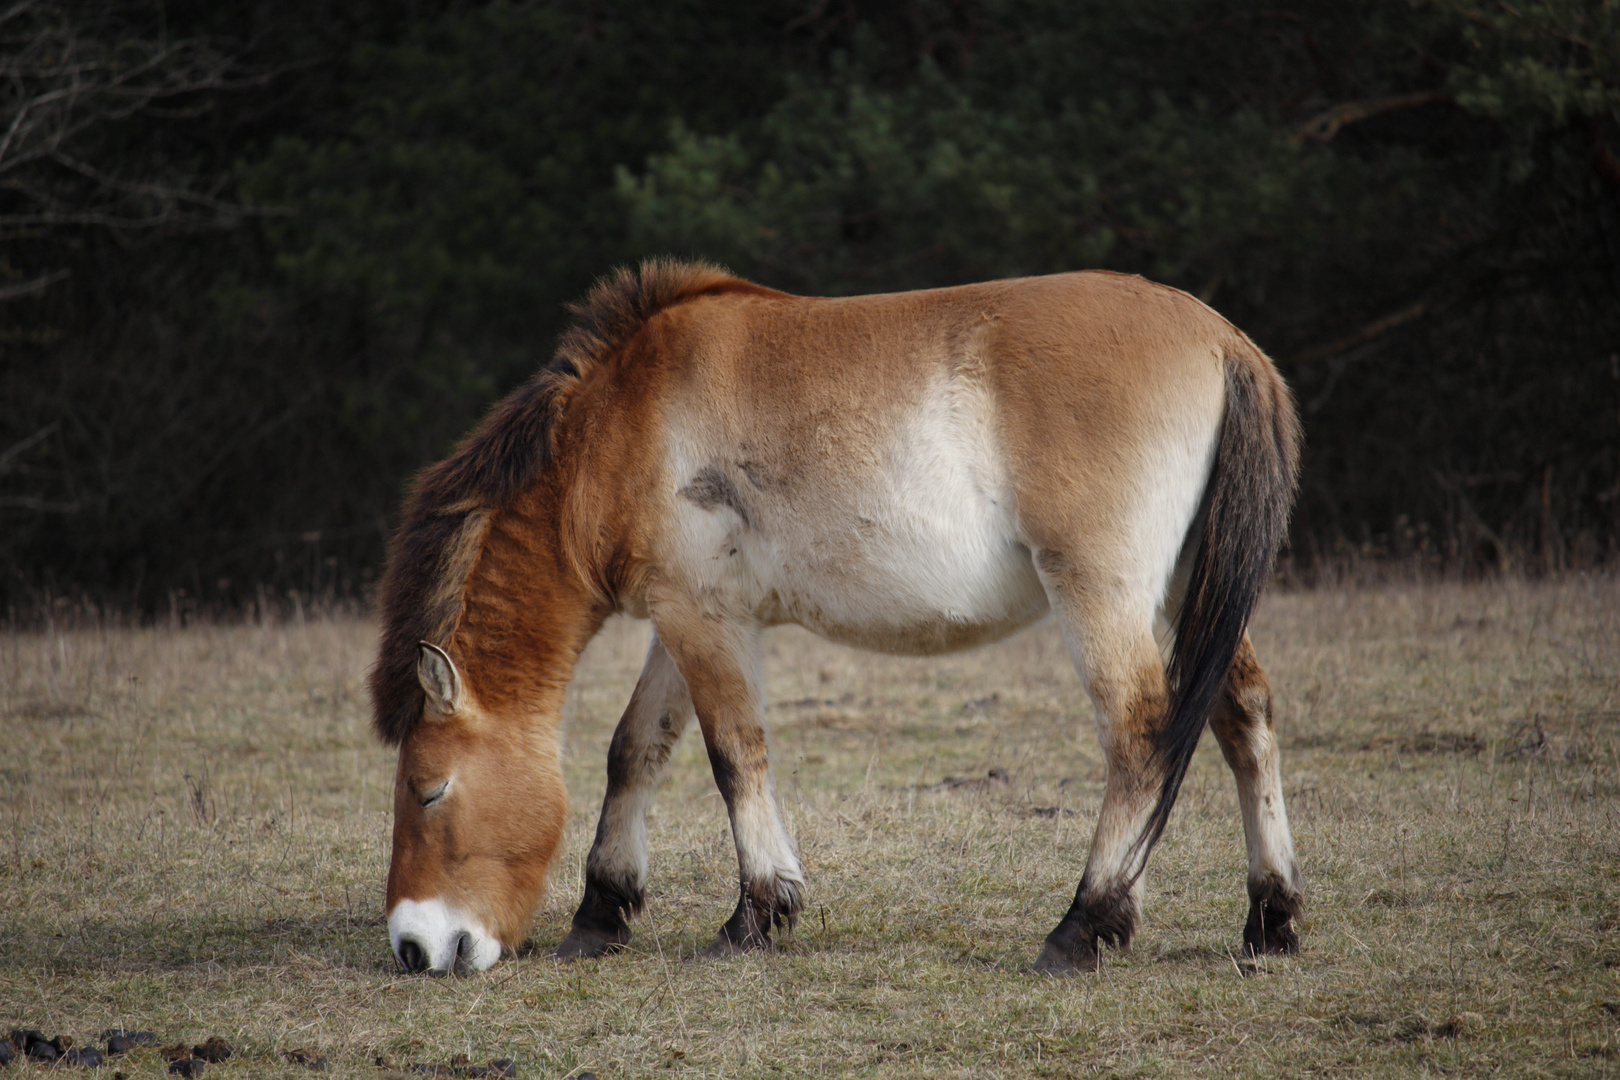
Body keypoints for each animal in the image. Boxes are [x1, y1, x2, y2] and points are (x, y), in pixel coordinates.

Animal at [367, 257, 1302, 977]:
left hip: (1101, 595)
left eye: (429, 790)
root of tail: (1224, 342)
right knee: (1244, 717)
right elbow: (635, 751)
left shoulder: (704, 622)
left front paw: (754, 916)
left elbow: (734, 755)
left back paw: (1084, 926)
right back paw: (1271, 918)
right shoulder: (685, 619)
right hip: (1188, 592)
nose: (414, 947)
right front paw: (601, 913)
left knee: (1142, 735)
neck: (620, 421)